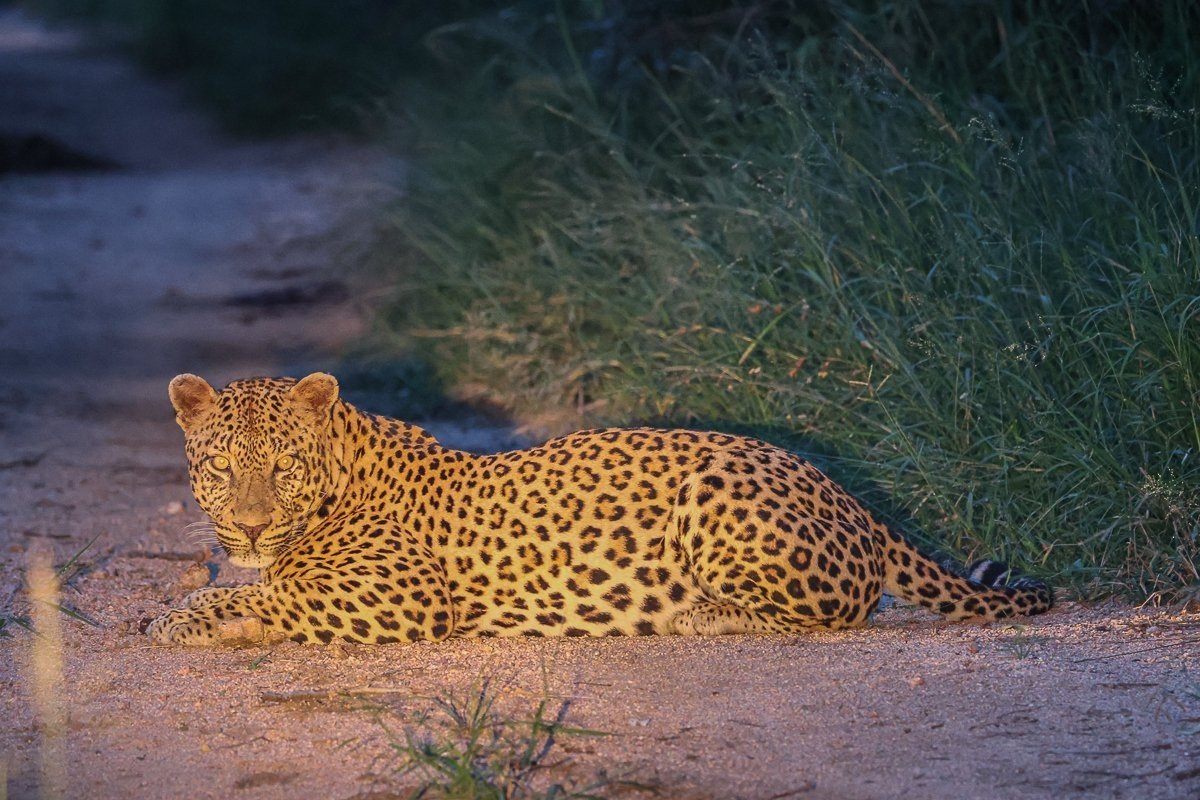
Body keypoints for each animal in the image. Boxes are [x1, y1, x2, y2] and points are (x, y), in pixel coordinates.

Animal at [146, 372, 1052, 646]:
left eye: (283, 467)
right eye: (221, 467)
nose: (251, 525)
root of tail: (854, 500)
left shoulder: (404, 597)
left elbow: (277, 595)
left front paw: (188, 618)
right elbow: (264, 586)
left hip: (716, 496)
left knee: (841, 613)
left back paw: (700, 615)